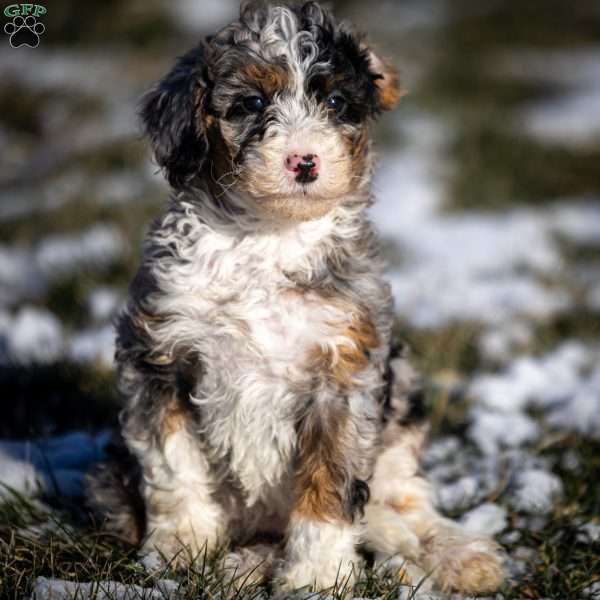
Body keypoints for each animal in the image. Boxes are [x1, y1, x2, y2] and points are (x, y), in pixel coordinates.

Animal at [86, 1, 504, 596]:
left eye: (336, 103)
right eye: (252, 103)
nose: (304, 161)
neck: (269, 237)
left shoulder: (344, 370)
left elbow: (331, 484)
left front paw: (318, 576)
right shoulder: (157, 354)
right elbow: (173, 463)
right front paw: (179, 549)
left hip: (401, 390)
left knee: (400, 498)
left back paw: (452, 553)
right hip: (107, 481)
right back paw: (242, 564)